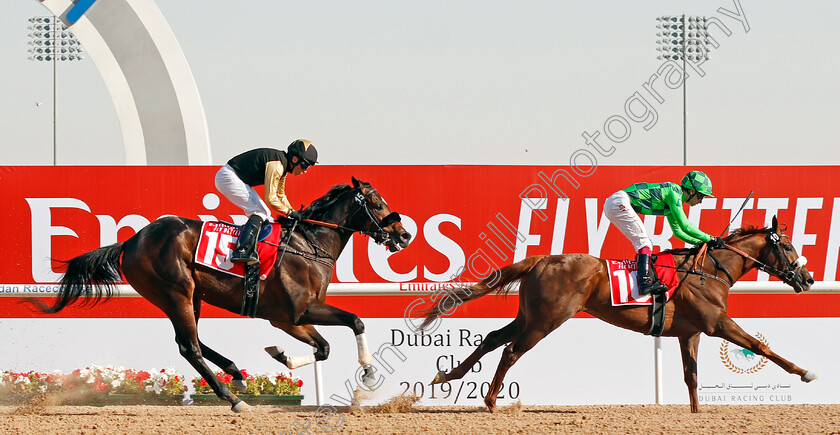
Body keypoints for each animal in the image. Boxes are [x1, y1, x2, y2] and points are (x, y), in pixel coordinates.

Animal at [23, 177, 410, 412]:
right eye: (377, 203)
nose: (404, 235)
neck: (308, 246)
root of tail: (132, 240)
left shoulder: (289, 319)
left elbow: (325, 347)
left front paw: (282, 355)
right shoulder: (297, 312)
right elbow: (354, 321)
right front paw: (368, 372)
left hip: (190, 296)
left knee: (192, 339)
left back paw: (235, 372)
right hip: (176, 291)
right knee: (188, 346)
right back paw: (233, 399)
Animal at [424, 218, 816, 412]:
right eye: (788, 245)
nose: (808, 278)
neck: (709, 270)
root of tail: (542, 259)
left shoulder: (689, 333)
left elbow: (691, 377)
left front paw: (696, 414)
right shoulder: (716, 324)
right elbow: (762, 348)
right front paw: (805, 372)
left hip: (529, 315)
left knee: (493, 339)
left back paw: (448, 375)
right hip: (546, 320)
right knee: (510, 351)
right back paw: (490, 401)